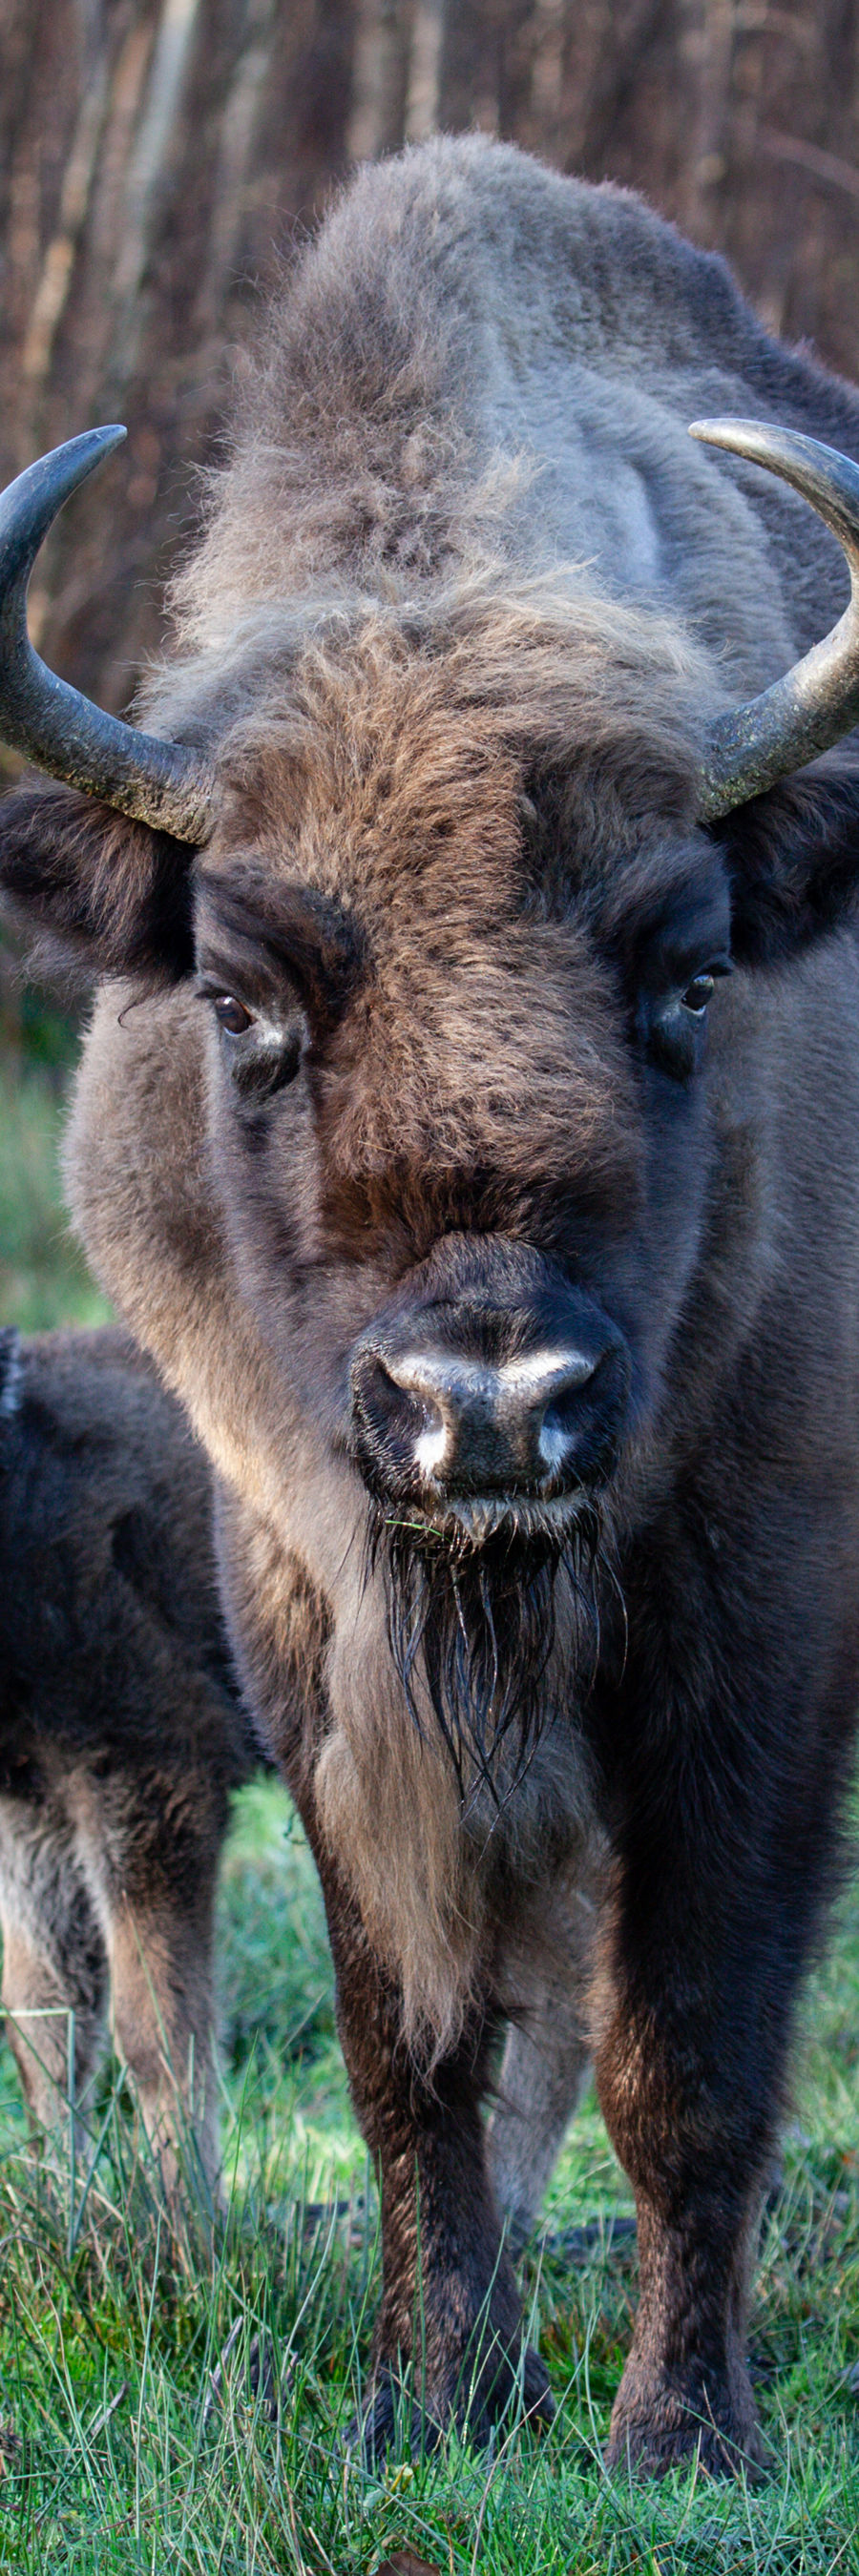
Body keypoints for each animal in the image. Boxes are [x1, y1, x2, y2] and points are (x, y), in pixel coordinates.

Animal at [3, 134, 859, 2471]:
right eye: (237, 1000)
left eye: (691, 974)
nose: (492, 1408)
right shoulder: (302, 1616)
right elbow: (421, 2045)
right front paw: (430, 2395)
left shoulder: (756, 1614)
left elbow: (691, 2050)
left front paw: (685, 2432)